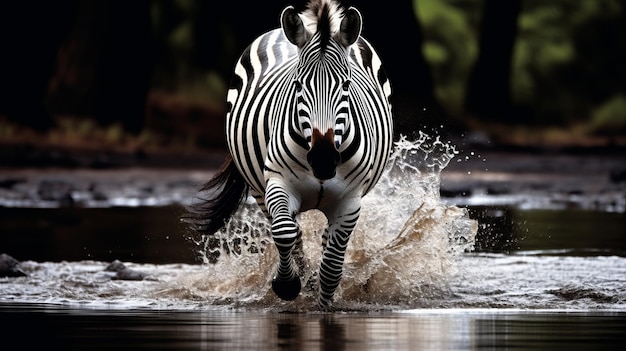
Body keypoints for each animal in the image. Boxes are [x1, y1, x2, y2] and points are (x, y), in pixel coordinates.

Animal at [185, 0, 390, 308]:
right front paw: (288, 284)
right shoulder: (278, 184)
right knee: (293, 233)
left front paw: (324, 303)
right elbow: (284, 232)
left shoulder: (350, 200)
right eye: (298, 85)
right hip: (259, 190)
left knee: (324, 241)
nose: (323, 160)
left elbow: (332, 266)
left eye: (346, 85)